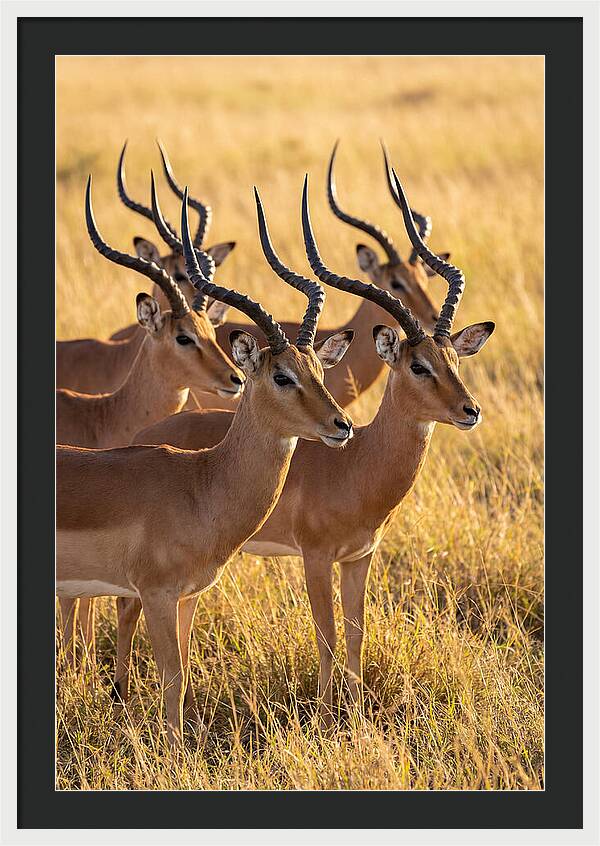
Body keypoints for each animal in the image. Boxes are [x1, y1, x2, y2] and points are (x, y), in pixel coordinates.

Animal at [56, 187, 355, 744]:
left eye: (318, 369)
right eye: (281, 375)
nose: (341, 425)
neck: (201, 485)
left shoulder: (188, 596)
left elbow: (185, 668)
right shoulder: (154, 594)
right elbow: (171, 678)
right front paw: (173, 752)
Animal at [124, 170, 494, 726]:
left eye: (454, 359)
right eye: (417, 365)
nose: (470, 410)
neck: (359, 464)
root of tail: (143, 436)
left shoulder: (360, 557)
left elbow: (358, 633)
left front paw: (356, 713)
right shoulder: (315, 557)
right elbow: (327, 635)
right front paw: (323, 715)